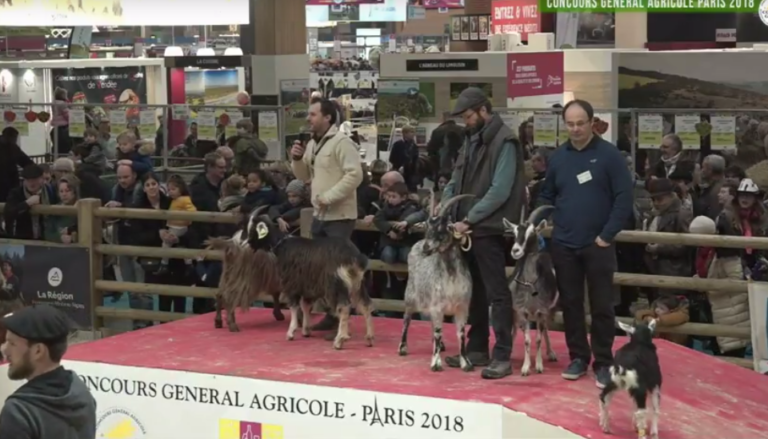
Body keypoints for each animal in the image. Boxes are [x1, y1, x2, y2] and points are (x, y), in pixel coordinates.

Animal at [238, 209, 374, 350]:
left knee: (344, 308)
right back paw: (369, 338)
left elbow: (294, 306)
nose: (241, 243)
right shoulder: (307, 285)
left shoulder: (291, 283)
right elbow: (306, 305)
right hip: (359, 283)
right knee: (366, 305)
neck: (281, 245)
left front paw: (291, 332)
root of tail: (354, 256)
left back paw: (339, 340)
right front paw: (306, 330)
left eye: (251, 229)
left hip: (337, 284)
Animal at [400, 192, 476, 372]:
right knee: (407, 319)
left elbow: (460, 334)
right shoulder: (437, 306)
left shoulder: (462, 308)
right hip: (410, 297)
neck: (451, 277)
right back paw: (403, 348)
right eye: (427, 228)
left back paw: (440, 346)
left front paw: (465, 363)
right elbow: (438, 331)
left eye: (442, 228)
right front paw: (436, 363)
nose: (426, 248)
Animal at [504, 205, 560, 376]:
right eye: (515, 232)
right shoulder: (522, 311)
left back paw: (551, 353)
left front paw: (539, 365)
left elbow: (538, 339)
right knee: (515, 329)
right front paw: (525, 367)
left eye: (532, 232)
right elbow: (527, 340)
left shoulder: (542, 311)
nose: (515, 250)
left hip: (550, 311)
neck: (530, 285)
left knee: (546, 329)